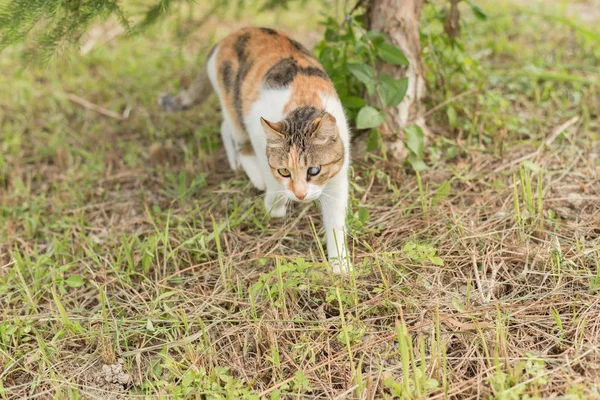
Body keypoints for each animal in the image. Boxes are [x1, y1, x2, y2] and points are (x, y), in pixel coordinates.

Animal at [159, 26, 352, 274]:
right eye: (284, 171)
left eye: (314, 170)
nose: (299, 195)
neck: (302, 103)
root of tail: (229, 37)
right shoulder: (258, 133)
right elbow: (272, 182)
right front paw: (274, 206)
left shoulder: (338, 176)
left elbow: (336, 221)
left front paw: (340, 265)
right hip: (234, 101)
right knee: (235, 134)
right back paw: (249, 172)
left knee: (224, 126)